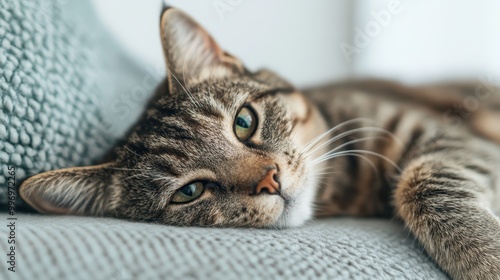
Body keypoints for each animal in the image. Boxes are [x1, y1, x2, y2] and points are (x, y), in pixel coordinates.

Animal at [20, 6, 500, 280]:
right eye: (189, 191)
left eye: (244, 122)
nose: (271, 180)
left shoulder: (441, 131)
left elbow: (423, 185)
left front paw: (487, 259)